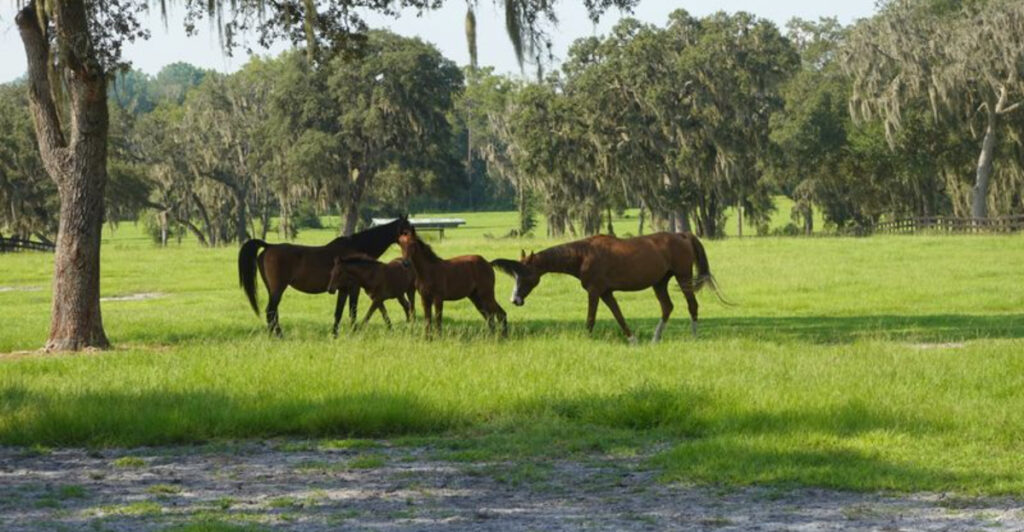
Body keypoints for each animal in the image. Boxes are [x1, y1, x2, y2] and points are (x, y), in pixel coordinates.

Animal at [238, 216, 412, 336]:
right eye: (408, 230)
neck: (356, 248)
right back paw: (278, 336)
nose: (415, 243)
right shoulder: (353, 288)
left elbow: (339, 312)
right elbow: (352, 311)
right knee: (270, 311)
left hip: (272, 289)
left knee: (273, 313)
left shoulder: (343, 289)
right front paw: (353, 331)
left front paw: (335, 334)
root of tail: (268, 246)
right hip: (277, 289)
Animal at [491, 232, 728, 343]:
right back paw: (655, 339)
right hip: (659, 283)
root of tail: (682, 235)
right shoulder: (606, 293)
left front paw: (586, 341)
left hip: (683, 277)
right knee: (667, 307)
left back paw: (694, 337)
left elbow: (591, 319)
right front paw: (633, 340)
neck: (583, 255)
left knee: (692, 305)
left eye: (526, 275)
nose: (515, 300)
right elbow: (619, 317)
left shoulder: (595, 292)